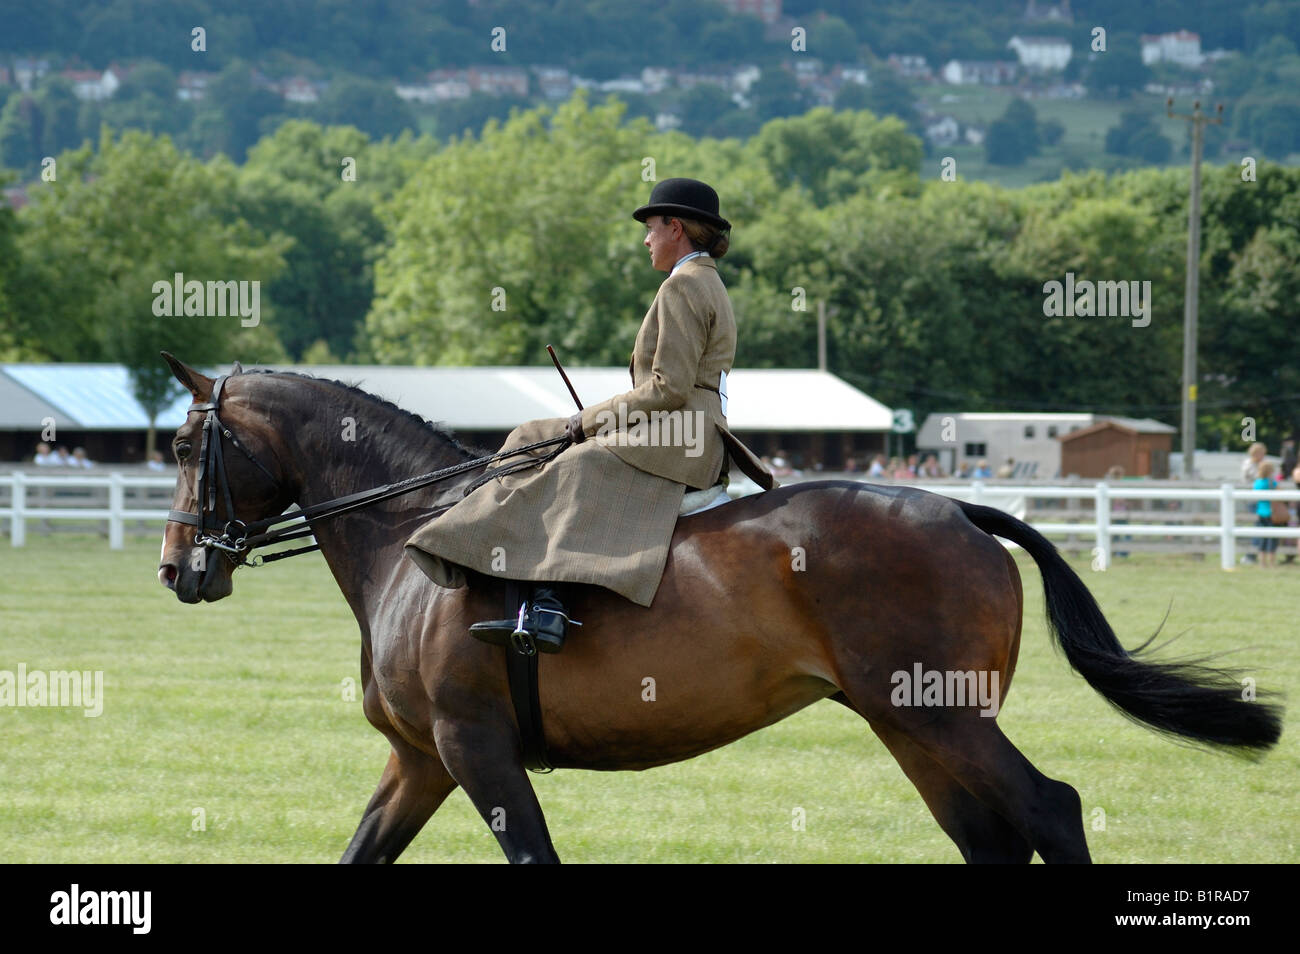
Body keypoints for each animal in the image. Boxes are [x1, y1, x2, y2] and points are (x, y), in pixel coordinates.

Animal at [157, 358, 1284, 868]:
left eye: (180, 445)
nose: (177, 570)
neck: (410, 537)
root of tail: (956, 507)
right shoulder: (422, 759)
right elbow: (361, 854)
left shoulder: (474, 748)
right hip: (914, 724)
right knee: (990, 836)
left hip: (941, 717)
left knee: (1049, 808)